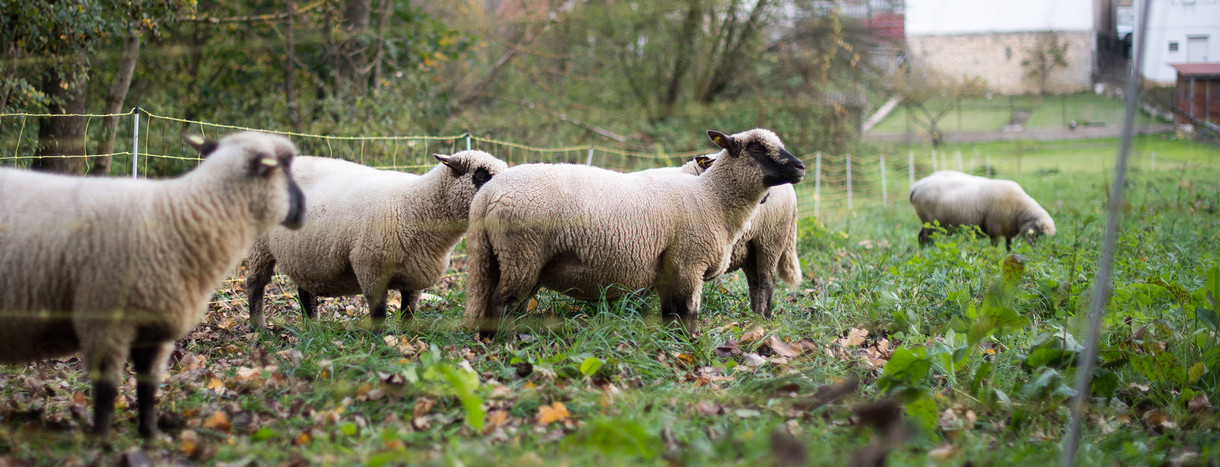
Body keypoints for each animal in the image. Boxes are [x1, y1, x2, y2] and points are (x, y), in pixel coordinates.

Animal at [0, 130, 305, 438]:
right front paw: (102, 438)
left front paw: (150, 435)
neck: (177, 217)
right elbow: (107, 389)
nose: (303, 208)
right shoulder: (105, 321)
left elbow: (148, 386)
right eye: (285, 166)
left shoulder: (155, 327)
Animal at [242, 149, 509, 329]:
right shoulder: (371, 266)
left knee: (305, 292)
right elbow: (379, 312)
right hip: (260, 245)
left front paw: (407, 337)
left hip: (306, 252)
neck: (415, 205)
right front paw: (381, 341)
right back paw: (258, 327)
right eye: (481, 175)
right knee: (255, 284)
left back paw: (312, 327)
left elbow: (409, 311)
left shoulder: (415, 275)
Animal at [639, 155, 800, 319]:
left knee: (767, 281)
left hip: (770, 239)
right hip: (751, 249)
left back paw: (762, 318)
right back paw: (755, 316)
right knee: (755, 282)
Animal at [907, 170, 1058, 251]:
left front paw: (1010, 255)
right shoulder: (994, 228)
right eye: (1038, 234)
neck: (1020, 210)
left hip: (926, 222)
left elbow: (1008, 245)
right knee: (926, 237)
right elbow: (994, 245)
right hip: (930, 222)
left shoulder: (1009, 231)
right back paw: (928, 249)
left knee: (920, 235)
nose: (1037, 252)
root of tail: (916, 187)